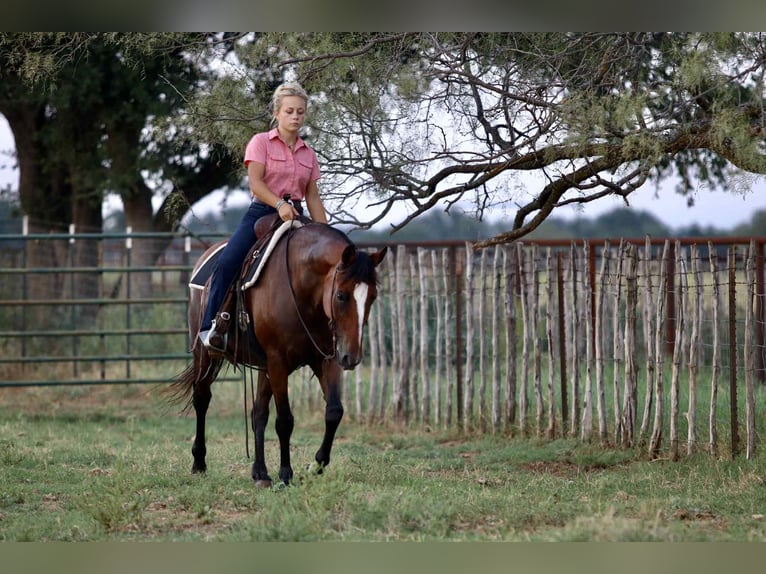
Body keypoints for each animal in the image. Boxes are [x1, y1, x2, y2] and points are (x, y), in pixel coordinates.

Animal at [169, 216, 387, 487]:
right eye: (341, 295)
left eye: (373, 297)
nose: (352, 357)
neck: (303, 287)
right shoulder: (278, 361)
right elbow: (284, 420)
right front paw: (286, 473)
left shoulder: (325, 360)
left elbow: (334, 411)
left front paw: (316, 465)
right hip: (204, 354)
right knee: (201, 398)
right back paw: (199, 463)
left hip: (264, 367)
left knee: (258, 413)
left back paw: (260, 473)